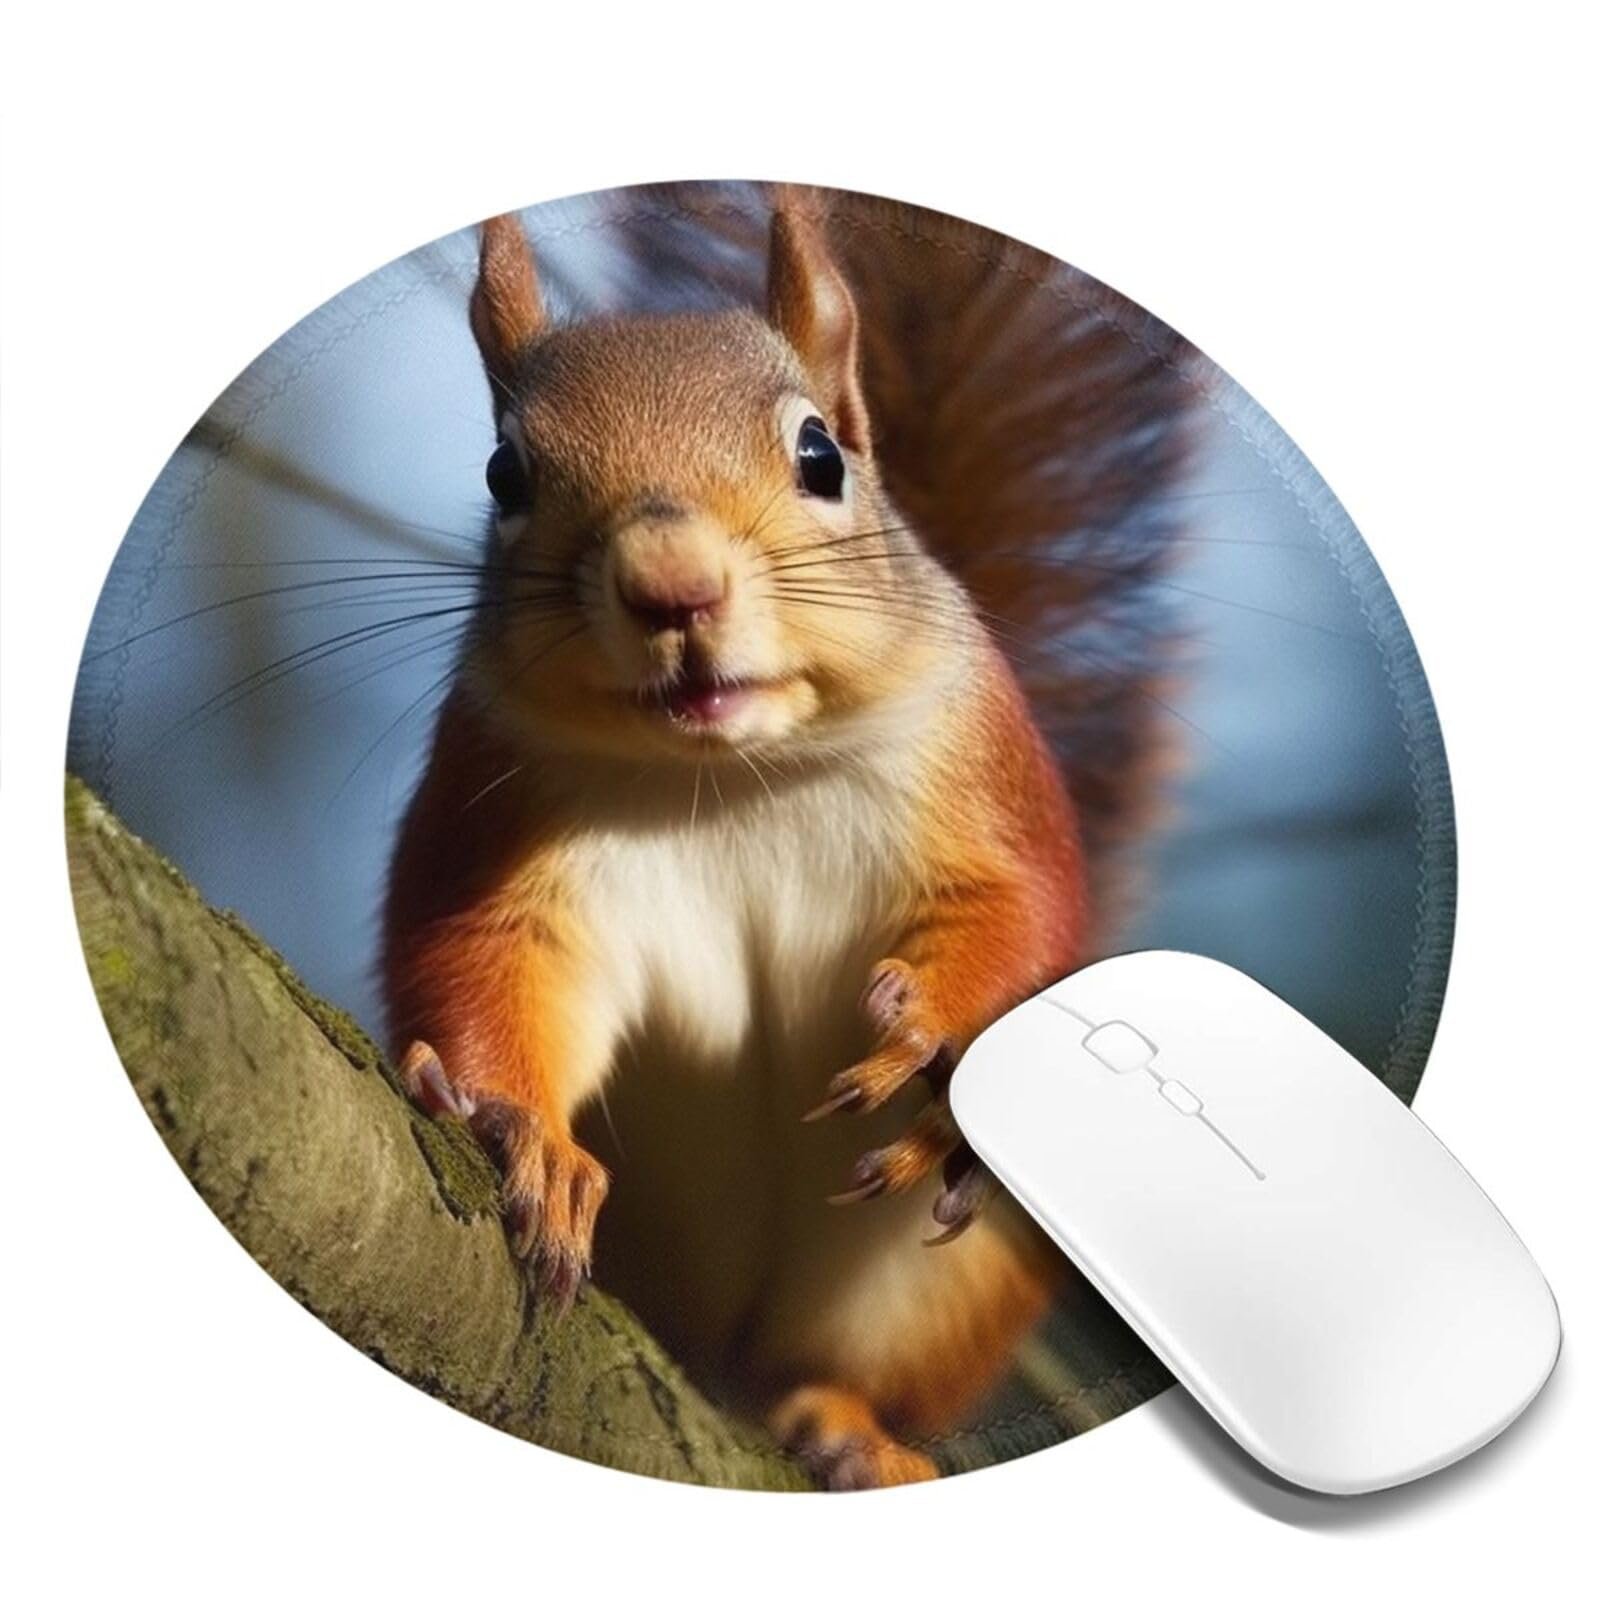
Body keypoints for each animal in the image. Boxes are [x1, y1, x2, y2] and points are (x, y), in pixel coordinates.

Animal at [384, 187, 1192, 1488]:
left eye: (822, 456)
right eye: (505, 471)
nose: (673, 585)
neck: (730, 770)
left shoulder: (985, 787)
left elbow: (1020, 918)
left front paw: (925, 1030)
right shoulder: (494, 819)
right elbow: (483, 964)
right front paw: (531, 1140)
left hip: (946, 1279)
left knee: (815, 1373)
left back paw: (852, 1433)